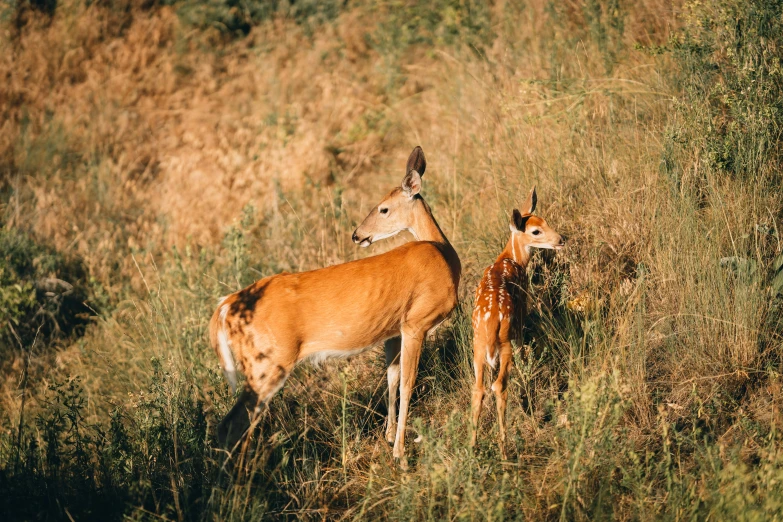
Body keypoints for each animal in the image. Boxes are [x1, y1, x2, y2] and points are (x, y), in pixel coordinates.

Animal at [211, 145, 462, 460]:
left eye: (383, 208)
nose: (357, 234)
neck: (444, 256)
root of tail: (226, 305)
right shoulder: (416, 322)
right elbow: (408, 383)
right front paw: (400, 453)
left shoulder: (395, 330)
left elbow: (392, 379)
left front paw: (389, 436)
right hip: (267, 361)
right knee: (233, 423)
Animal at [472, 187, 564, 456]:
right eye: (535, 231)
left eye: (545, 221)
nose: (560, 239)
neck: (510, 259)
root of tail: (491, 322)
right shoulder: (521, 315)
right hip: (505, 345)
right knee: (499, 386)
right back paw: (504, 448)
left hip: (477, 347)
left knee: (478, 389)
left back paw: (472, 445)